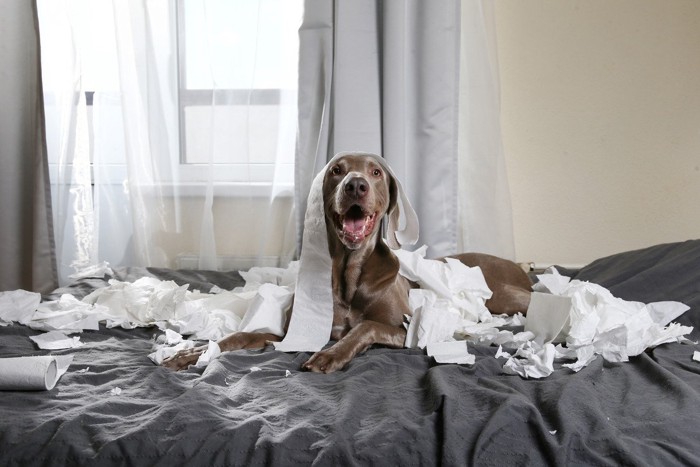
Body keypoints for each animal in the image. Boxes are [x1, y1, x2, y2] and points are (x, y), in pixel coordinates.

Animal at [161, 155, 528, 374]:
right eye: (337, 170)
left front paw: (330, 354)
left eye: (375, 172)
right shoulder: (290, 332)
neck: (349, 273)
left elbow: (365, 327)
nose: (356, 184)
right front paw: (192, 353)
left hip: (504, 296)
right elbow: (238, 335)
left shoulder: (406, 330)